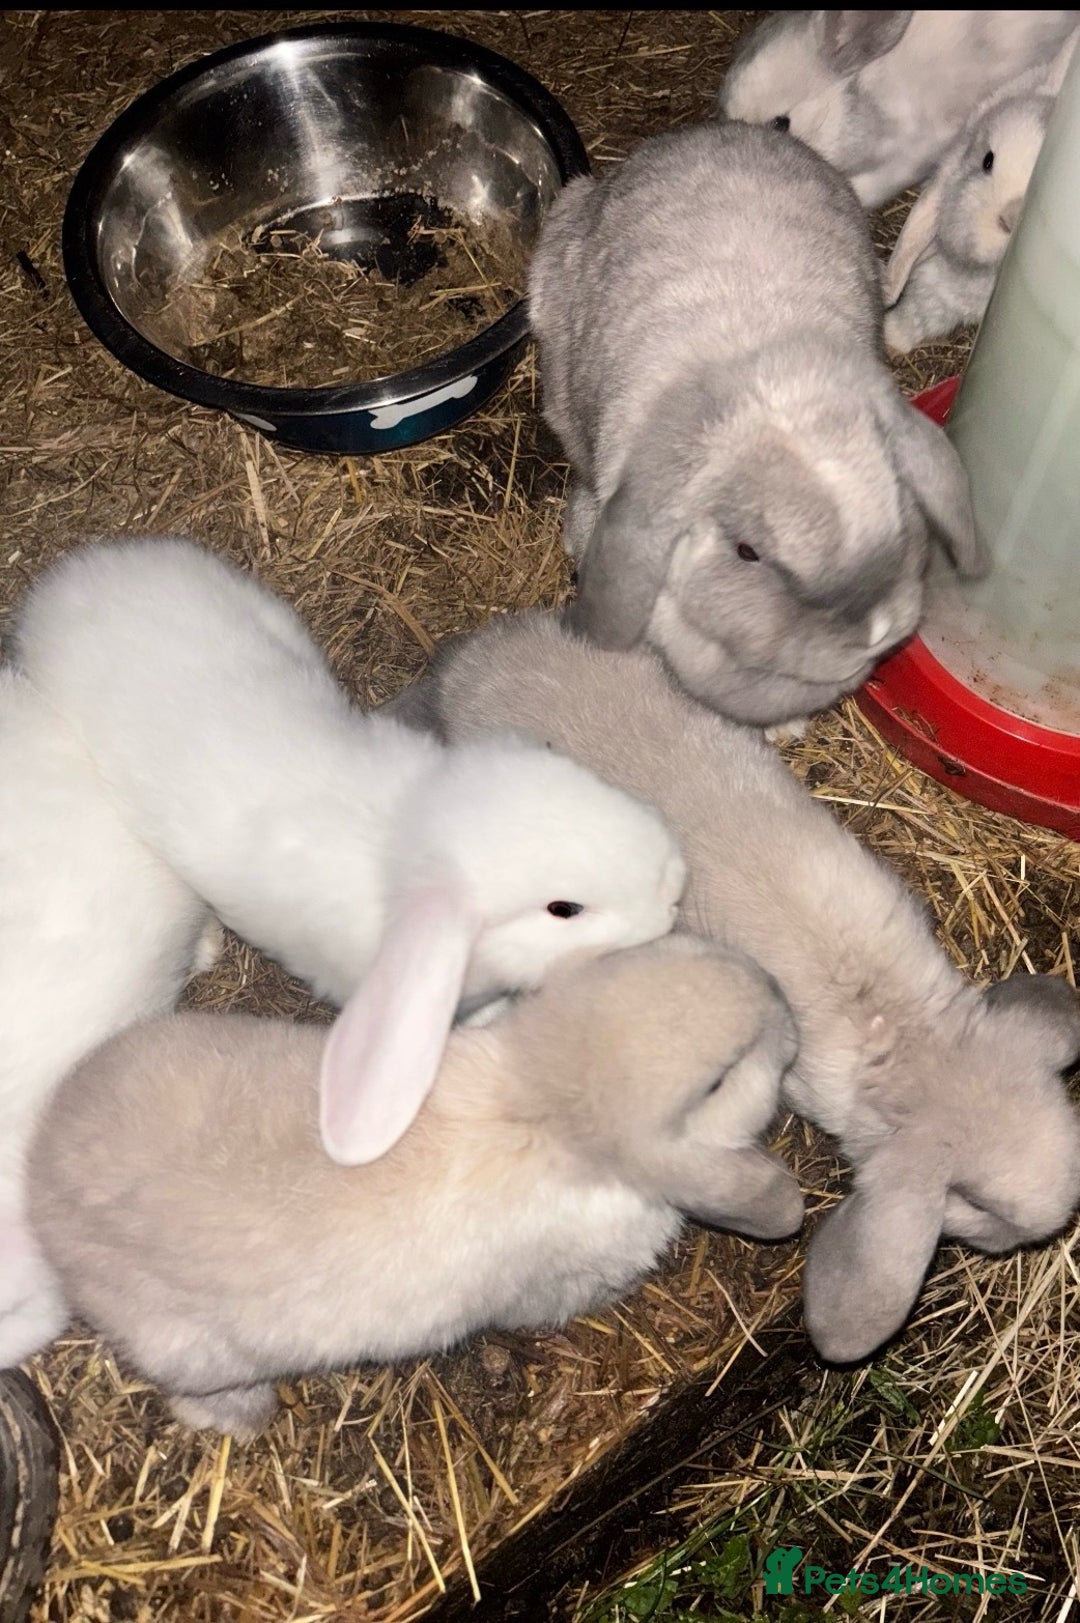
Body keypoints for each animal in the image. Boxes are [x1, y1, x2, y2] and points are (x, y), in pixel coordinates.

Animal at [28, 934, 803, 1438]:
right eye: (719, 1079)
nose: (783, 1003)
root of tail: (43, 1186)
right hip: (189, 1347)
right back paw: (244, 1416)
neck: (545, 1101)